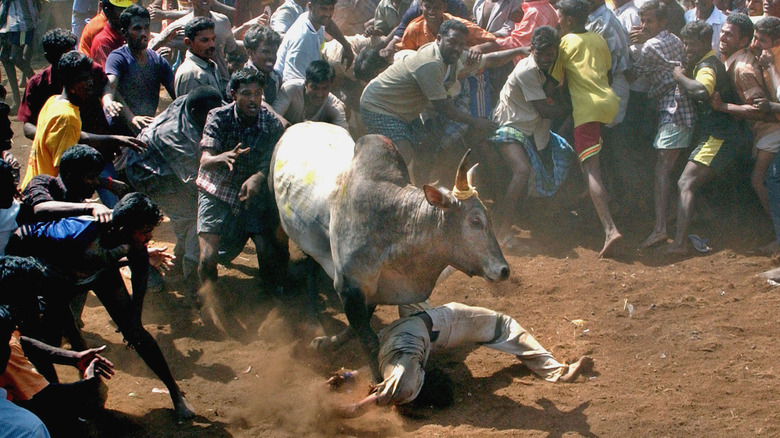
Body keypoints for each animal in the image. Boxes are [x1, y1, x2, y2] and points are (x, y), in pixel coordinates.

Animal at [272, 121, 508, 382]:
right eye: (475, 221)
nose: (503, 270)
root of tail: (297, 125)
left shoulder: (372, 292)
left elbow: (358, 331)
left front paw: (327, 343)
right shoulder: (348, 286)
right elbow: (368, 340)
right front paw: (377, 381)